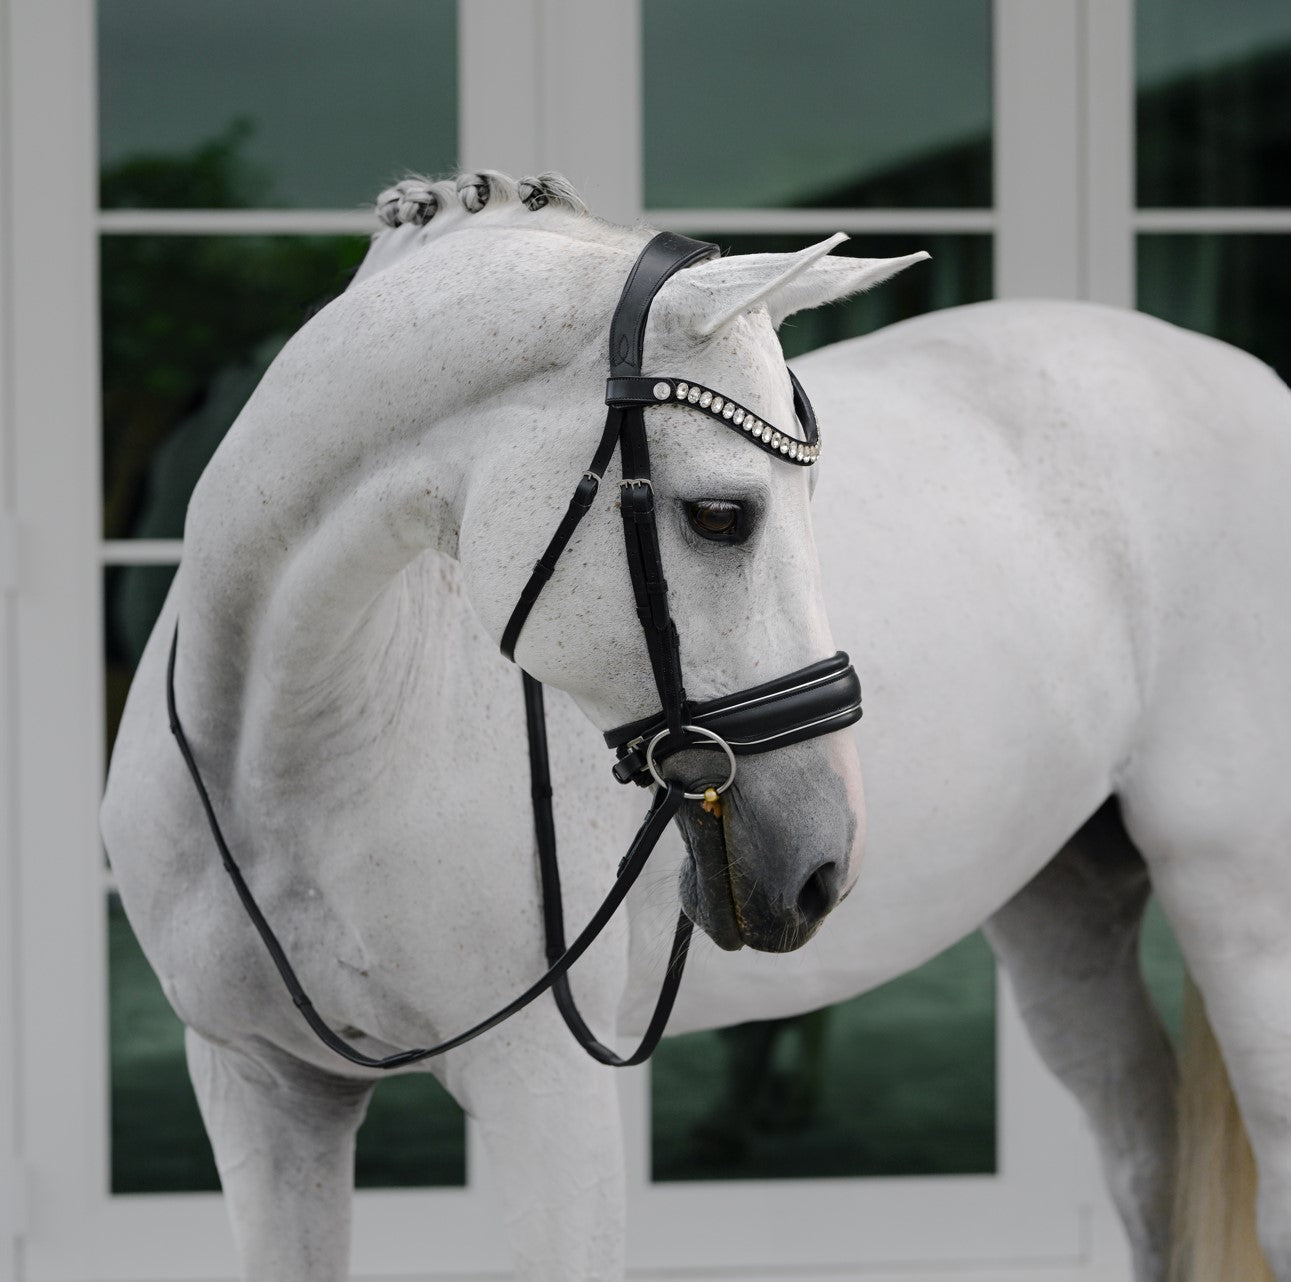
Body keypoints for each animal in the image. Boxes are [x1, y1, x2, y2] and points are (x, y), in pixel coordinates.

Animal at [101, 170, 1291, 1282]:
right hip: (1065, 910)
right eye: (721, 515)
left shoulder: (544, 1092)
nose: (820, 858)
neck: (287, 750)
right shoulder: (262, 1087)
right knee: (1145, 1154)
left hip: (1240, 906)